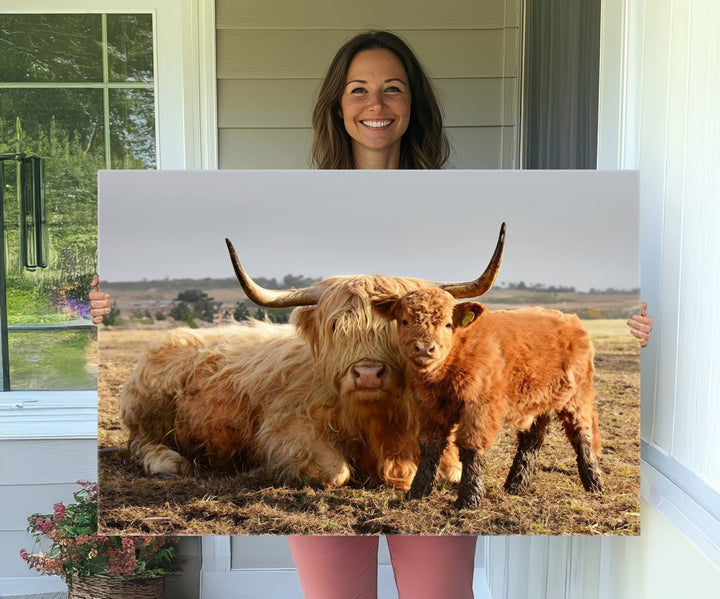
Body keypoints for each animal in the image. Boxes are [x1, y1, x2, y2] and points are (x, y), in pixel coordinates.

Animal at [119, 227, 506, 490]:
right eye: (336, 326)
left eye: (399, 324)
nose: (367, 374)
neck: (380, 421)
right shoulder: (285, 431)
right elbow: (335, 472)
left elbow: (451, 469)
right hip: (150, 408)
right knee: (140, 443)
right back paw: (168, 462)